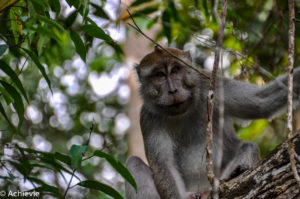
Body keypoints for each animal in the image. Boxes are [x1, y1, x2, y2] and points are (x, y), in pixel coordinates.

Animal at [125, 47, 300, 199]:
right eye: (160, 75)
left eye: (175, 70)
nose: (173, 90)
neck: (182, 111)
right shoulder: (148, 118)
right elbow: (164, 165)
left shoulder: (210, 84)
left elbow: (261, 102)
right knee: (134, 163)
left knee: (248, 146)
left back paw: (234, 174)